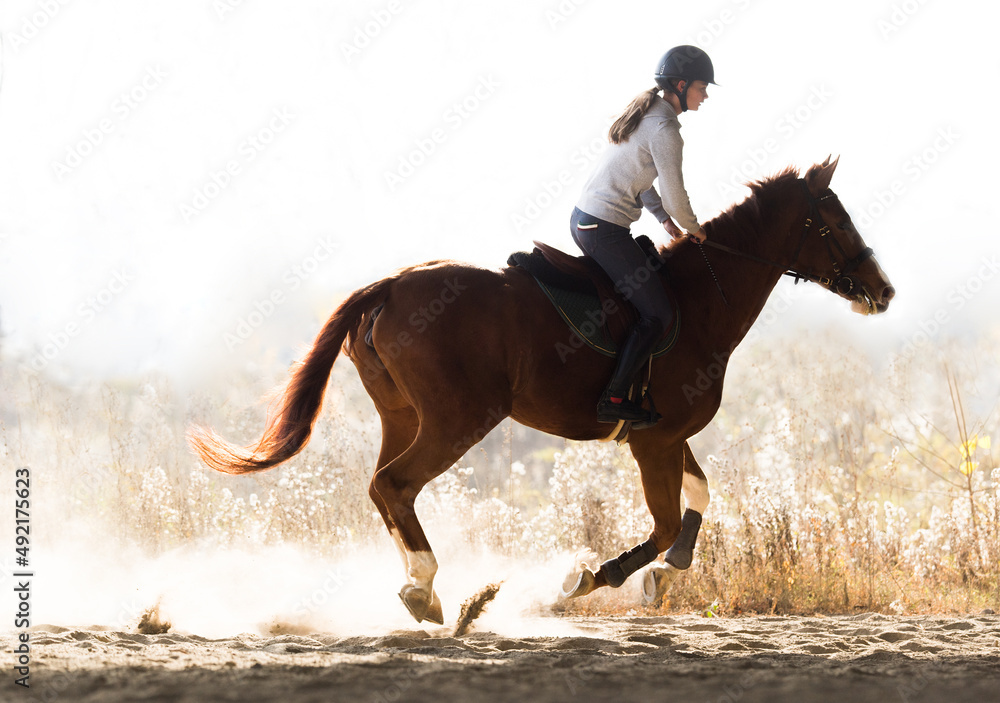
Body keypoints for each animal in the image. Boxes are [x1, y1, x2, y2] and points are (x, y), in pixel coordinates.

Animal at [189, 157, 900, 624]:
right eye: (833, 223)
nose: (884, 291)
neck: (701, 299)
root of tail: (391, 285)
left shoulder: (662, 436)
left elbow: (698, 499)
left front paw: (663, 576)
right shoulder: (655, 440)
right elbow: (667, 518)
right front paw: (584, 580)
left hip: (405, 416)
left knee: (384, 488)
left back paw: (418, 588)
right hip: (459, 420)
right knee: (395, 484)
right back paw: (427, 589)